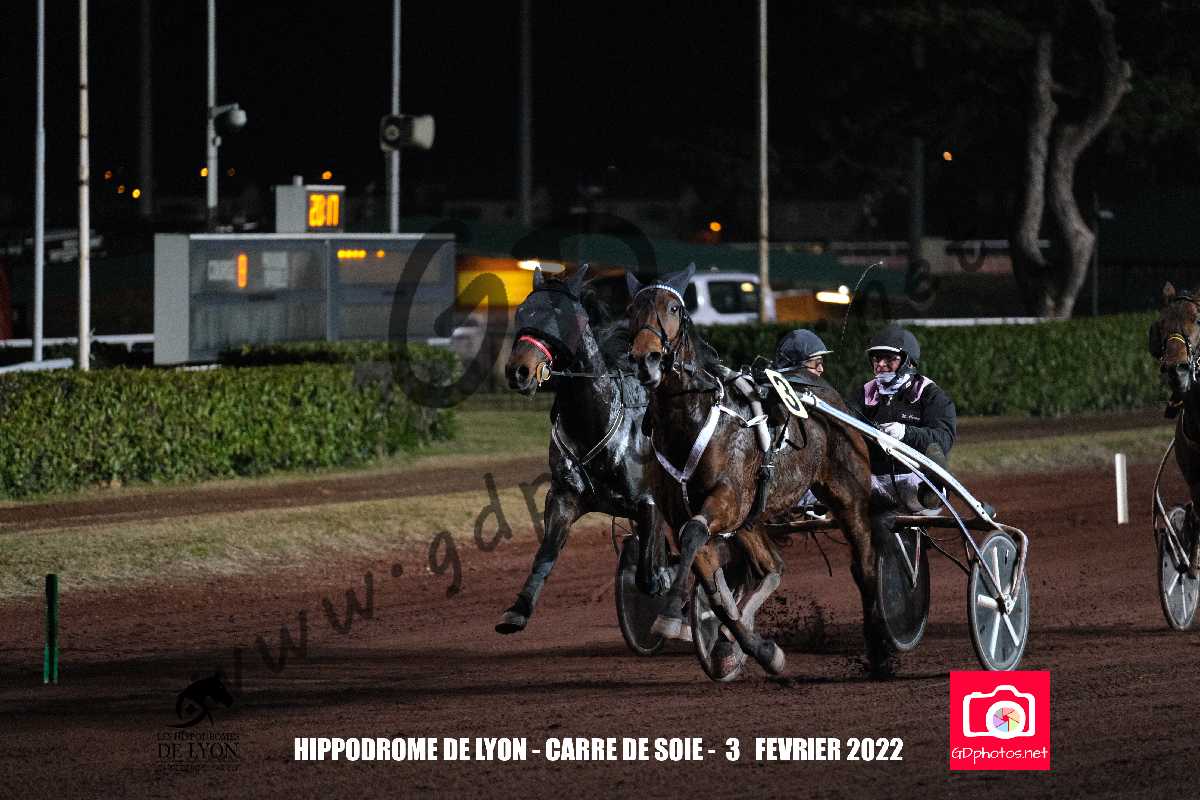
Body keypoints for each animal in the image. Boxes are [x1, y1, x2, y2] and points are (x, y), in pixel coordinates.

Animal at [495, 265, 675, 636]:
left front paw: (662, 579)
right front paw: (517, 609)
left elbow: (648, 571)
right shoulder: (564, 497)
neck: (597, 418)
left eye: (563, 317)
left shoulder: (649, 500)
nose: (519, 371)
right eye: (524, 311)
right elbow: (545, 554)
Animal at [626, 265, 895, 677]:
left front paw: (671, 616)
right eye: (630, 310)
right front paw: (755, 650)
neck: (691, 418)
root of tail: (829, 396)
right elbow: (716, 591)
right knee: (774, 566)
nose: (646, 359)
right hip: (752, 517)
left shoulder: (725, 499)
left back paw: (880, 650)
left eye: (673, 308)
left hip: (848, 495)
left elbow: (693, 538)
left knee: (864, 563)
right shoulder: (692, 512)